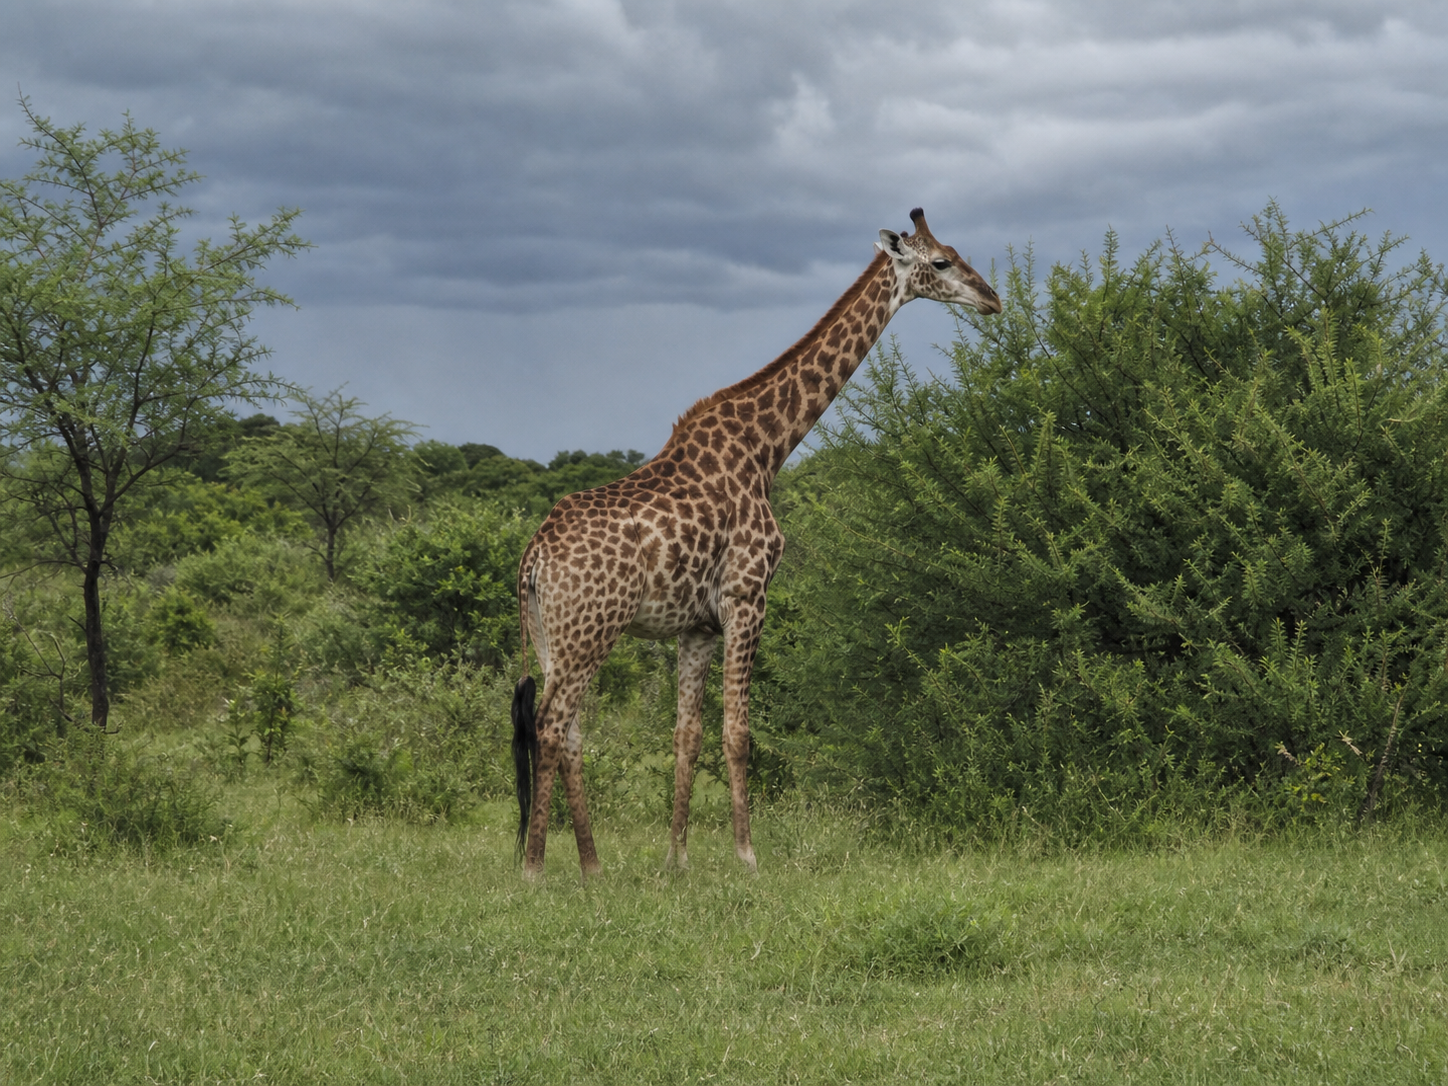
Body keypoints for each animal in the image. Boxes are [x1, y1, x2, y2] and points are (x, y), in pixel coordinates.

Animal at [512, 208, 1001, 879]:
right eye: (942, 261)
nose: (993, 299)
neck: (767, 445)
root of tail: (533, 559)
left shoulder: (696, 626)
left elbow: (686, 737)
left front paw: (677, 860)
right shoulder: (747, 599)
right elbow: (738, 733)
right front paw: (746, 855)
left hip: (554, 636)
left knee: (570, 732)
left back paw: (592, 867)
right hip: (591, 630)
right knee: (551, 726)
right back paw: (536, 868)